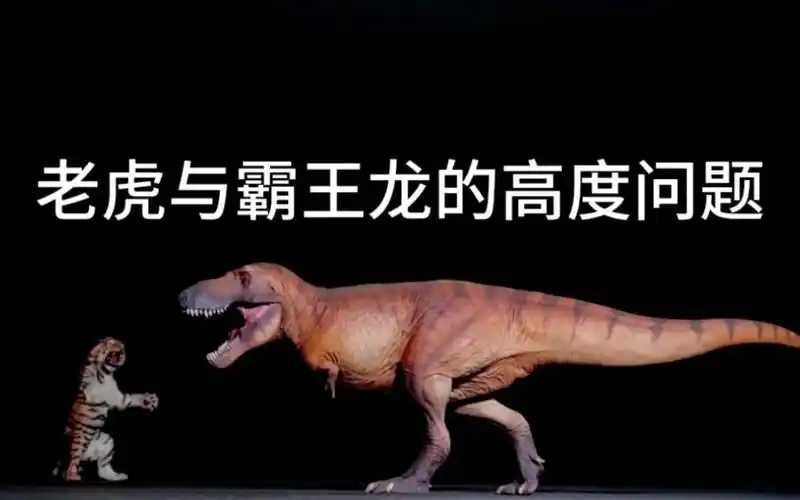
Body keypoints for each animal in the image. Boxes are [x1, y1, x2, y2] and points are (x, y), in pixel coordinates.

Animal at [52, 337, 158, 481]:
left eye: (122, 352)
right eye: (114, 352)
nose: (121, 354)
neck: (106, 373)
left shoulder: (120, 399)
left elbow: (134, 398)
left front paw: (150, 400)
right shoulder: (89, 374)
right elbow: (92, 359)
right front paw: (103, 345)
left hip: (106, 442)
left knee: (103, 469)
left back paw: (116, 476)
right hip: (78, 441)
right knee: (72, 463)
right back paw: (73, 476)